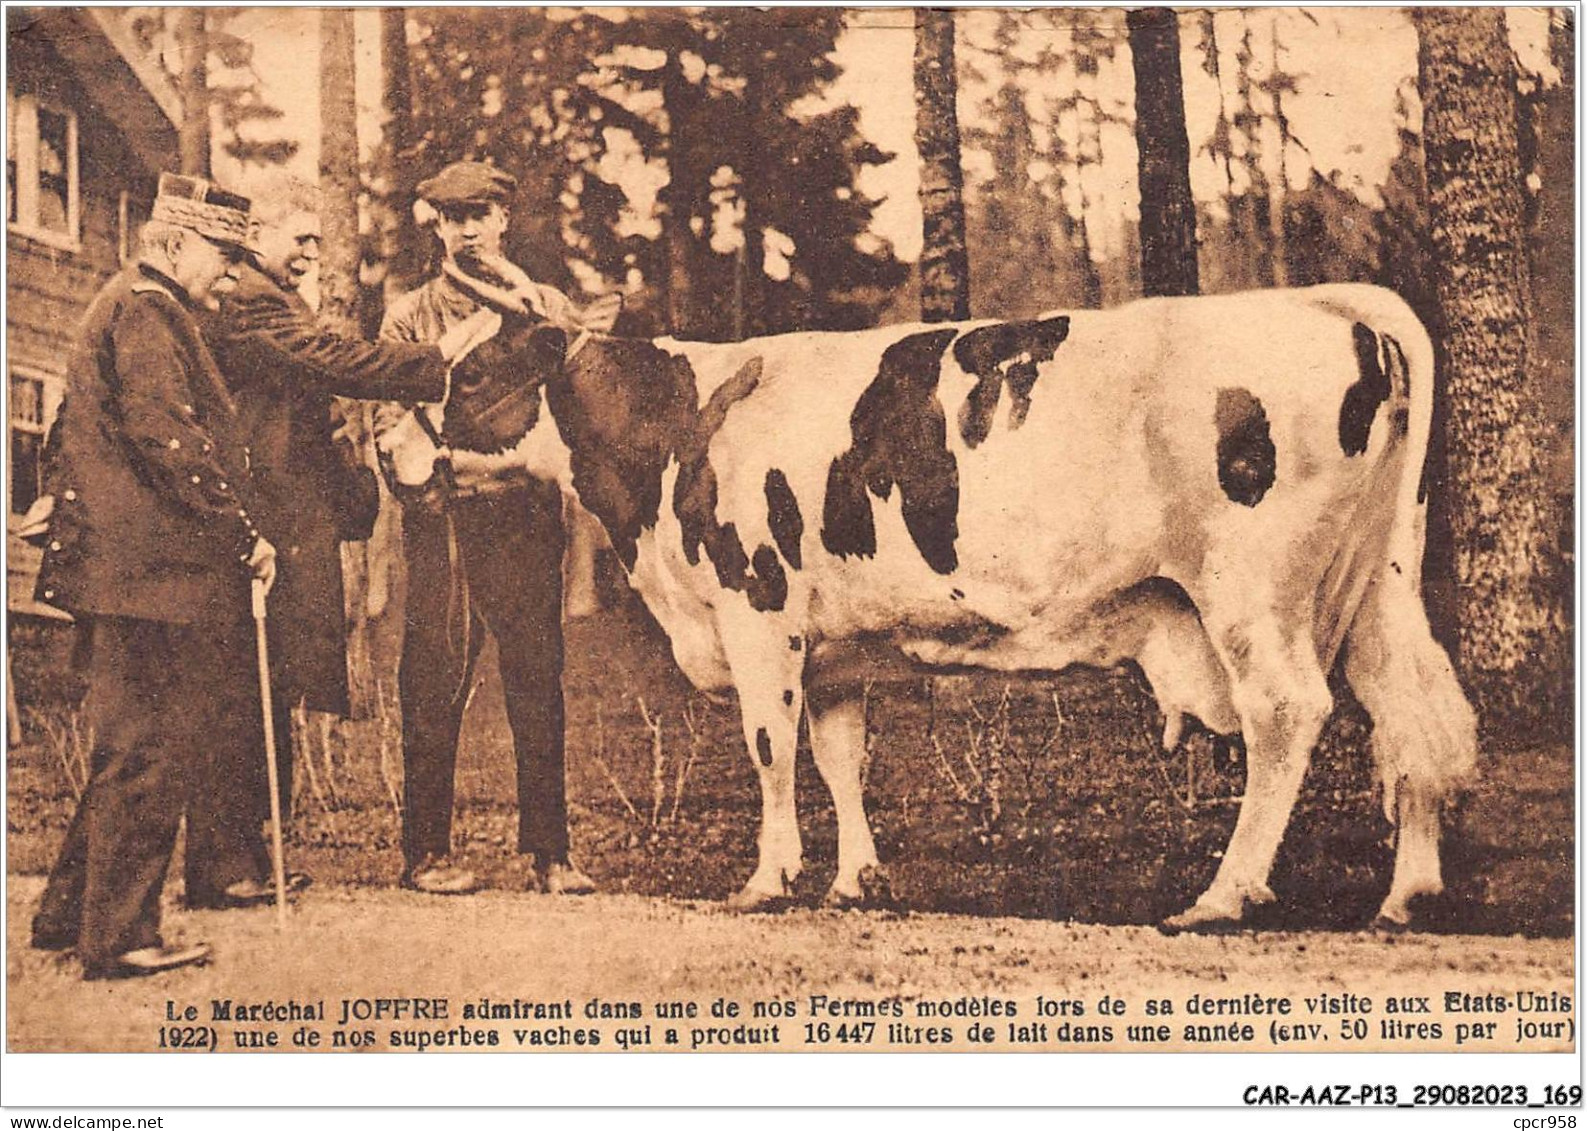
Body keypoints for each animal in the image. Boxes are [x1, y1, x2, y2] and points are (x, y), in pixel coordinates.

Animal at [441, 287, 1479, 932]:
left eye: (469, 375)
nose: (408, 459)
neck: (685, 425)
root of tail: (1336, 302)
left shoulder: (757, 607)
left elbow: (770, 747)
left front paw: (767, 879)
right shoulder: (837, 645)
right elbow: (839, 754)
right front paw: (855, 880)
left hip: (1252, 590)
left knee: (1287, 713)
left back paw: (1222, 896)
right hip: (1379, 585)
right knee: (1414, 716)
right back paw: (1407, 896)